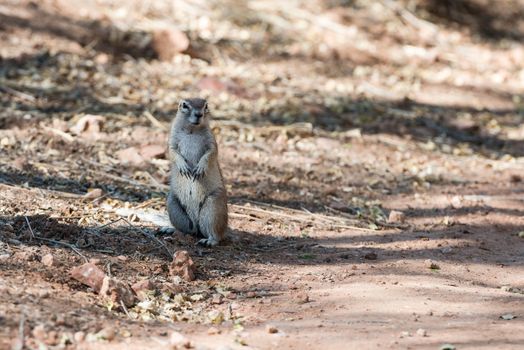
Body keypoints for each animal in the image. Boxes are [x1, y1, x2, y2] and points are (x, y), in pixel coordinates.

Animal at [163, 98, 228, 246]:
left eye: (206, 105)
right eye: (185, 105)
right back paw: (170, 229)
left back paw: (209, 241)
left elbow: (211, 153)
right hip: (172, 202)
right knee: (188, 230)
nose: (199, 114)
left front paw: (200, 168)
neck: (192, 130)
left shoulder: (211, 140)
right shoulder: (172, 139)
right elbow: (172, 152)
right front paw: (183, 166)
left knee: (217, 235)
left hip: (213, 205)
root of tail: (196, 224)